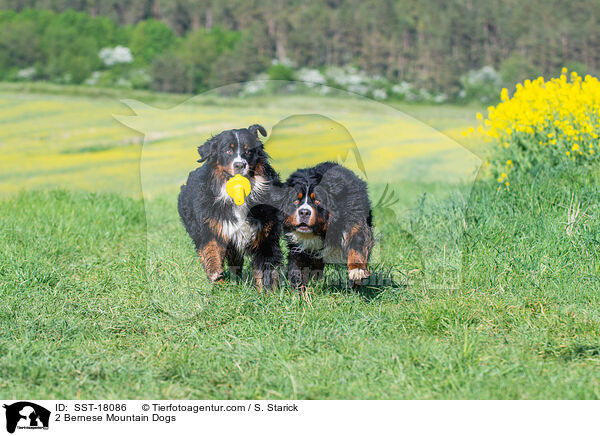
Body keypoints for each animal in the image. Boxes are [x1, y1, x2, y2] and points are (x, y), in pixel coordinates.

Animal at [177, 124, 282, 292]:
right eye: (228, 151)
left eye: (248, 151)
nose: (239, 165)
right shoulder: (212, 226)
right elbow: (211, 250)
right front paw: (215, 273)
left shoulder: (265, 233)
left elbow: (265, 267)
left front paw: (267, 293)